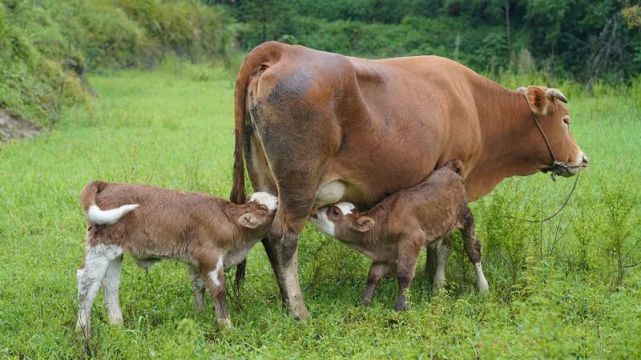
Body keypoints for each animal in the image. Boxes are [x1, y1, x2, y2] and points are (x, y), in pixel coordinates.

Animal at [76, 180, 276, 338]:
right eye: (263, 207)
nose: (277, 197)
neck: (230, 221)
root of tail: (109, 184)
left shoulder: (196, 261)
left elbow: (198, 286)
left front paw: (199, 314)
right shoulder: (210, 257)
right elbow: (218, 290)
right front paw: (227, 327)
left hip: (114, 253)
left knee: (110, 285)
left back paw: (118, 325)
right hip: (101, 247)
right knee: (87, 282)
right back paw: (83, 333)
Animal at [308, 162, 484, 310]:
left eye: (335, 212)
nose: (314, 210)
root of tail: (449, 168)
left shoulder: (412, 241)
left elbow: (404, 275)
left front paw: (400, 307)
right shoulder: (383, 255)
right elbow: (373, 276)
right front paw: (363, 303)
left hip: (465, 215)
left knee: (473, 249)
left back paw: (483, 287)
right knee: (444, 248)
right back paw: (438, 287)